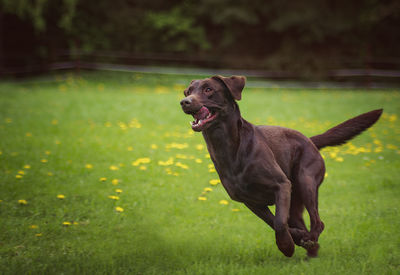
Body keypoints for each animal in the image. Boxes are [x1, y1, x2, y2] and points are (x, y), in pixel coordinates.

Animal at [180, 76, 382, 258]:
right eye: (188, 92)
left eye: (208, 89)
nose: (184, 102)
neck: (229, 147)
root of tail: (311, 140)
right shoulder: (250, 200)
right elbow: (274, 222)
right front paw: (296, 239)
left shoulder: (282, 185)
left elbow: (278, 222)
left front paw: (287, 247)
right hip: (295, 201)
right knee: (303, 224)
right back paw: (310, 250)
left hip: (305, 181)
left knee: (318, 222)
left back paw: (310, 241)